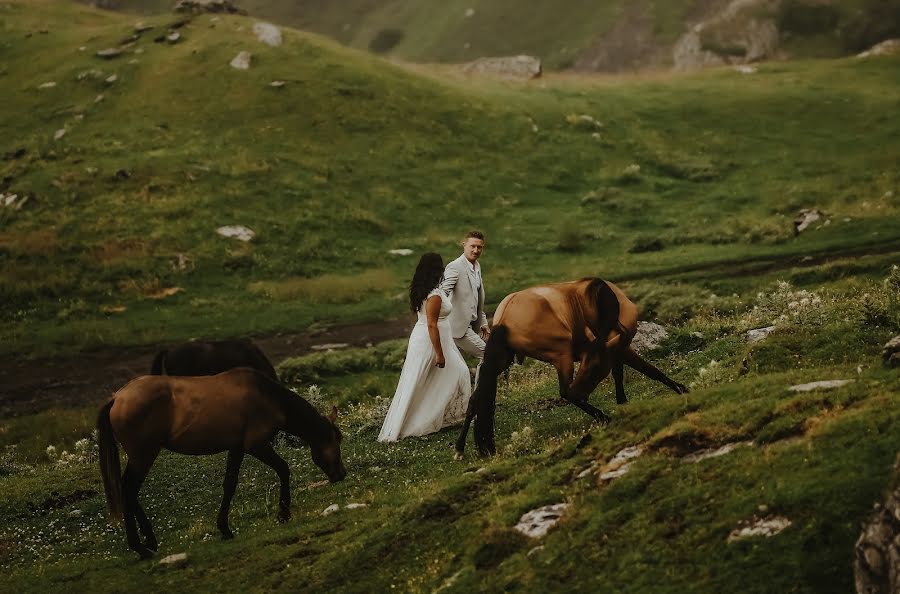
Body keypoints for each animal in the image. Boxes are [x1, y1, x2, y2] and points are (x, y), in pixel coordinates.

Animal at [97, 364, 344, 556]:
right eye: (337, 440)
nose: (341, 474)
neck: (268, 396)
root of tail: (117, 397)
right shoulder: (256, 445)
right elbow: (284, 469)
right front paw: (283, 513)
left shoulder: (237, 448)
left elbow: (229, 484)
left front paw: (224, 528)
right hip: (144, 455)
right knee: (128, 489)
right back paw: (140, 547)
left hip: (142, 456)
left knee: (128, 491)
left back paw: (149, 541)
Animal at [458, 276, 688, 454]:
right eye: (587, 365)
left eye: (594, 368)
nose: (581, 393)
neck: (605, 301)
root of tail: (505, 318)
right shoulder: (619, 347)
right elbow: (646, 370)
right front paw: (679, 388)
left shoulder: (615, 349)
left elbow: (634, 371)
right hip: (562, 356)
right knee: (565, 392)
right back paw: (603, 417)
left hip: (502, 360)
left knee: (475, 399)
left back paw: (461, 447)